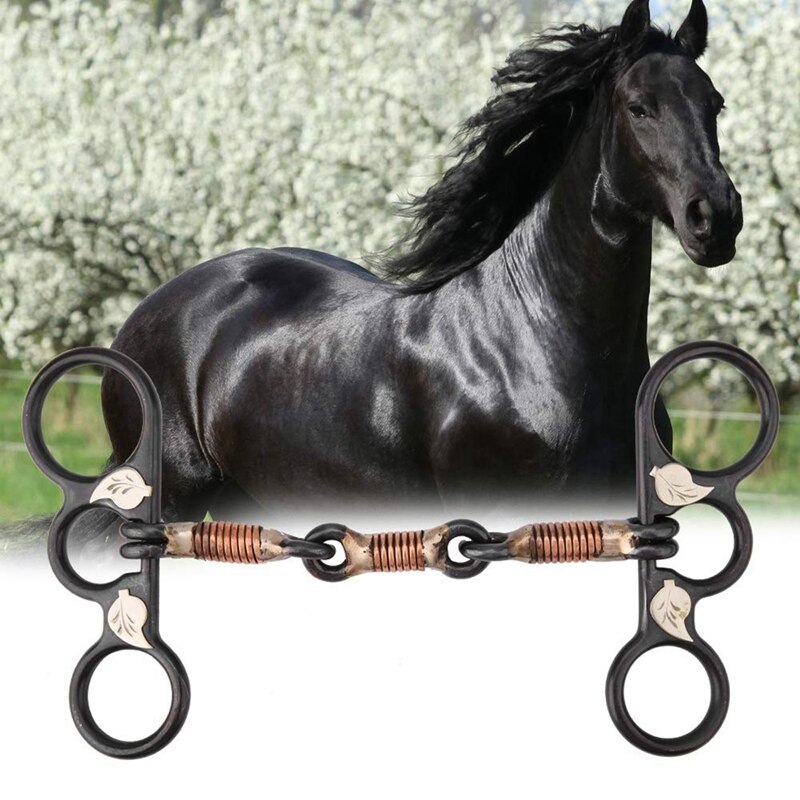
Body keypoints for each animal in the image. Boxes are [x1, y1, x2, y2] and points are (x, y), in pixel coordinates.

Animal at [101, 0, 742, 526]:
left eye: (715, 103)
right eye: (639, 107)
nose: (716, 218)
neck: (535, 344)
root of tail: (142, 316)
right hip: (174, 498)